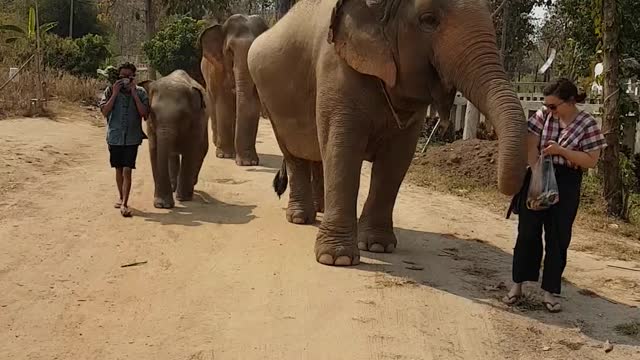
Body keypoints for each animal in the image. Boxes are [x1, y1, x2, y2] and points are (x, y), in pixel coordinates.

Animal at [141, 69, 209, 208]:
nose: (163, 205)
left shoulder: (197, 121)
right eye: (152, 112)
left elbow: (191, 151)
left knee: (201, 151)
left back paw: (190, 184)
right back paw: (174, 186)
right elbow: (155, 150)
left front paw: (183, 199)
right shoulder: (150, 125)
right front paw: (161, 204)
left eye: (182, 115)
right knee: (172, 155)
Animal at [200, 13, 270, 166]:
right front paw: (225, 156)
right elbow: (224, 103)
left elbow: (252, 104)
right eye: (230, 51)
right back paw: (217, 144)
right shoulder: (217, 70)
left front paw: (248, 163)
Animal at [248, 0, 528, 266]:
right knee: (293, 154)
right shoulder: (336, 67)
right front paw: (337, 259)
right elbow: (343, 150)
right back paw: (299, 218)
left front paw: (377, 246)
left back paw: (320, 209)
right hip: (270, 103)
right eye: (429, 20)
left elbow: (397, 158)